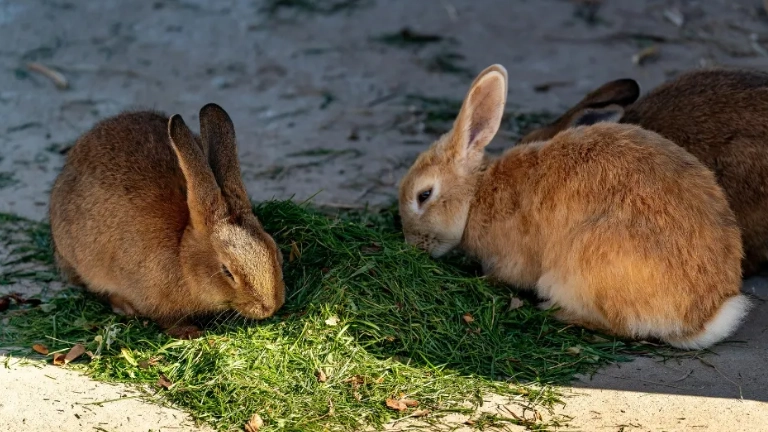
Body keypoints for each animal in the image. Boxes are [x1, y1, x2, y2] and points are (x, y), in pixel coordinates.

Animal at [49, 103, 286, 338]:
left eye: (274, 250)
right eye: (227, 271)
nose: (268, 307)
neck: (182, 254)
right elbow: (167, 320)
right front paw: (189, 332)